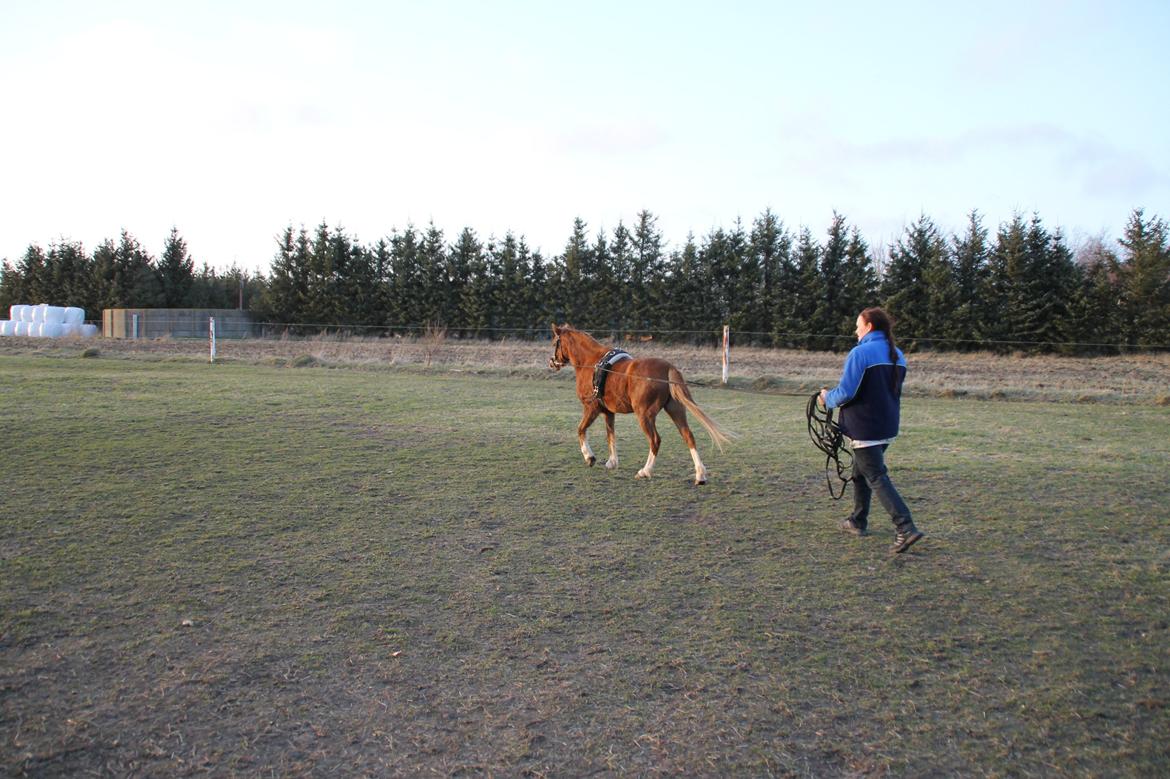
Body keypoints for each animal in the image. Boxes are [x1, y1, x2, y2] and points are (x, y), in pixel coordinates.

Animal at [548, 324, 734, 484]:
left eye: (555, 342)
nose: (552, 362)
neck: (591, 362)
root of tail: (668, 368)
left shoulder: (591, 408)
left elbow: (580, 430)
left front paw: (589, 457)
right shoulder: (608, 412)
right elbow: (610, 435)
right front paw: (612, 462)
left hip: (644, 415)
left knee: (655, 440)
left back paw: (645, 471)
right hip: (675, 409)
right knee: (688, 436)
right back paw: (700, 475)